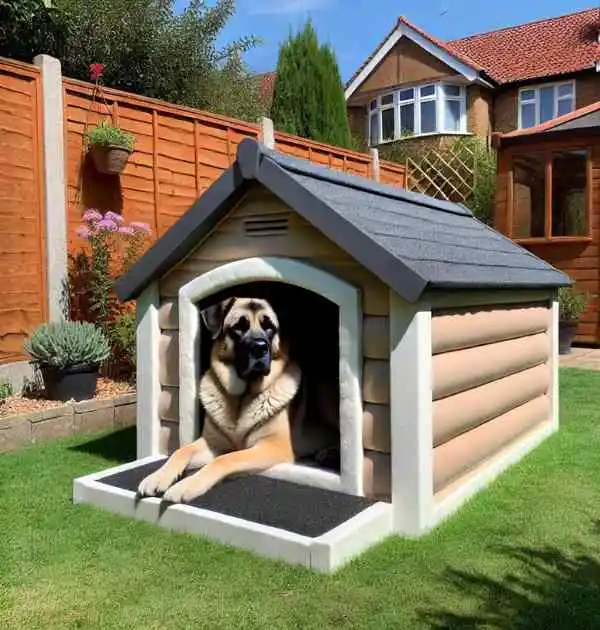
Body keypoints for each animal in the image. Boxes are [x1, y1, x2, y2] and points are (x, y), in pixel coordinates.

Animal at [135, 298, 338, 508]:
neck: (242, 398)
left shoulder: (272, 446)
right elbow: (182, 450)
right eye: (239, 327)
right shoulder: (212, 443)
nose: (260, 347)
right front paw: (157, 477)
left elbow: (225, 459)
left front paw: (186, 485)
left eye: (269, 327)